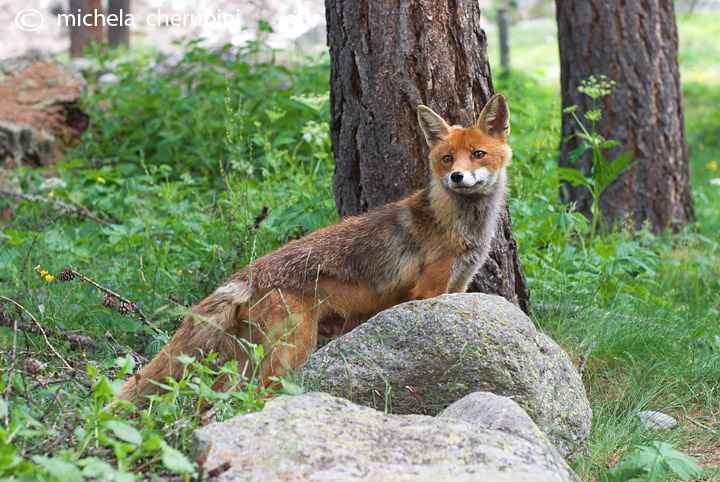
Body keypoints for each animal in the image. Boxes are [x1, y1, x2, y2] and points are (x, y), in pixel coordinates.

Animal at [118, 94, 512, 402]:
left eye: (478, 154)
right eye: (447, 159)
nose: (457, 177)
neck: (459, 225)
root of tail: (246, 273)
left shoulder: (459, 284)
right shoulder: (429, 290)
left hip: (248, 361)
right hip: (291, 351)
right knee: (256, 395)